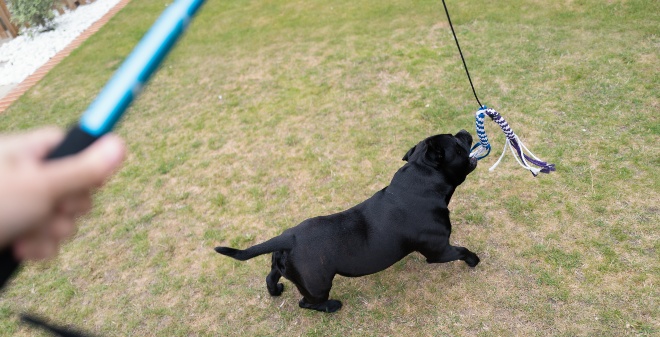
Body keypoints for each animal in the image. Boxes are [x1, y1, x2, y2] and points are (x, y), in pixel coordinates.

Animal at [217, 129, 480, 312]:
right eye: (457, 143)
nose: (463, 131)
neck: (420, 180)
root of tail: (288, 238)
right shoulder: (439, 251)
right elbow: (462, 250)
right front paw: (474, 260)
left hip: (283, 265)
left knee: (270, 276)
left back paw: (276, 291)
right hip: (319, 285)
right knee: (307, 303)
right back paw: (332, 306)